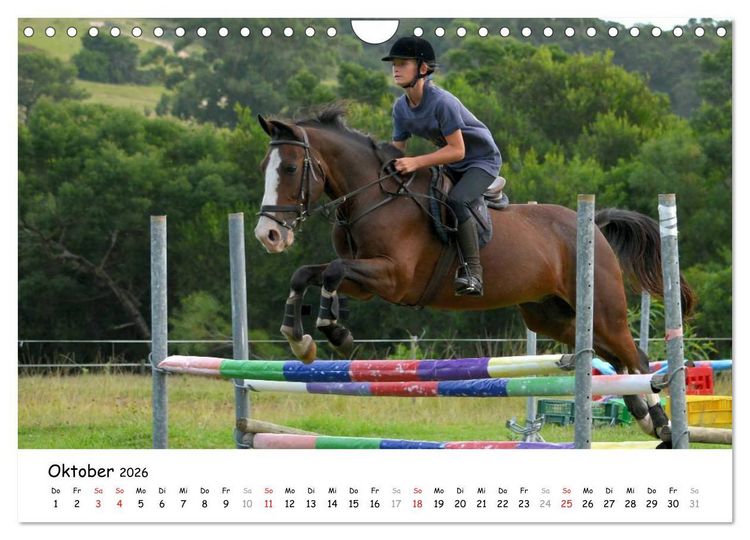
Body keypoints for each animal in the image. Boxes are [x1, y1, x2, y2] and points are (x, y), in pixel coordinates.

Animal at [253, 106, 696, 446]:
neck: (373, 196)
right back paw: (644, 416)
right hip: (550, 315)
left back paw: (661, 424)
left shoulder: (393, 277)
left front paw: (333, 331)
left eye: (290, 167)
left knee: (636, 358)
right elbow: (306, 274)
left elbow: (331, 270)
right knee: (612, 358)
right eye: (264, 168)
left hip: (603, 307)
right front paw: (299, 338)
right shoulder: (365, 284)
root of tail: (594, 225)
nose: (268, 235)